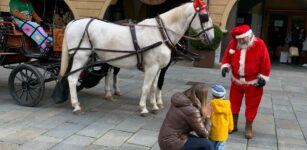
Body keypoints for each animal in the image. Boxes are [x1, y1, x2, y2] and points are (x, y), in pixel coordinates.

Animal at [59, 0, 215, 115]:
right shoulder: (151, 67)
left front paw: (154, 105)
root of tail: (73, 22)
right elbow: (146, 86)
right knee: (72, 79)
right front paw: (144, 108)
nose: (212, 39)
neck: (161, 33)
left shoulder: (158, 68)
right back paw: (76, 105)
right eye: (205, 17)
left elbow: (154, 86)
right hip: (80, 57)